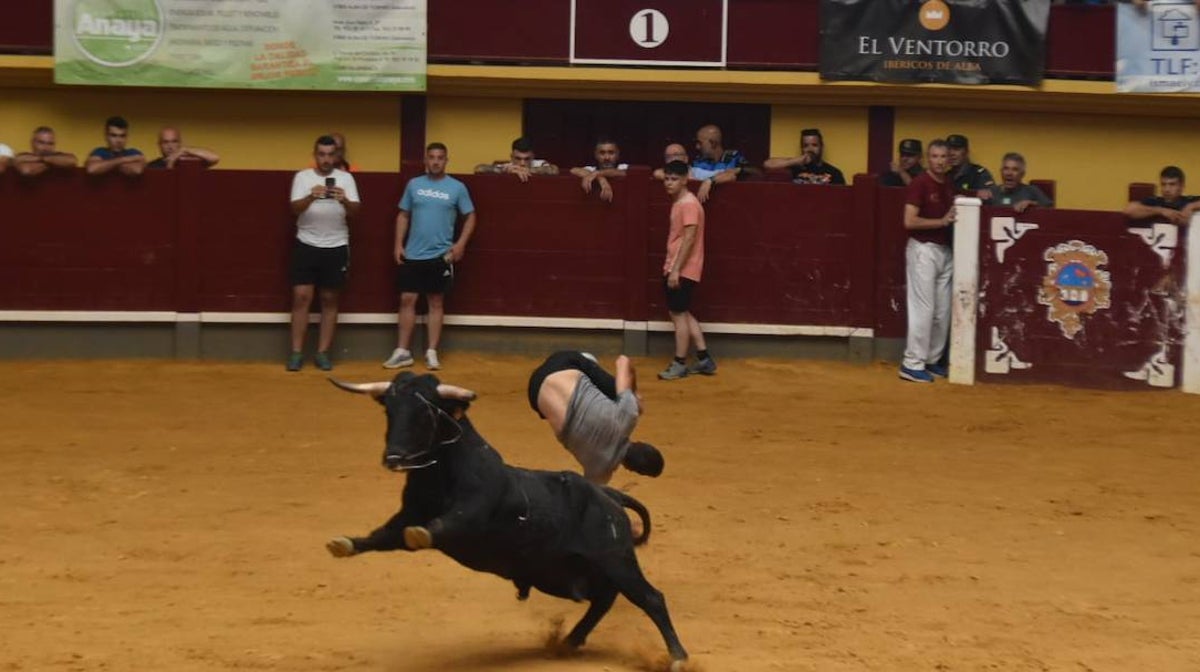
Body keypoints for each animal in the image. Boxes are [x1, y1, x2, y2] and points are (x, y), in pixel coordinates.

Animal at [324, 372, 691, 667]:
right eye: (390, 409)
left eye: (425, 412)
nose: (394, 457)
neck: (439, 474)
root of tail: (610, 497)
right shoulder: (406, 514)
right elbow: (382, 535)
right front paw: (344, 544)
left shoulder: (472, 514)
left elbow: (439, 526)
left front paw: (420, 535)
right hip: (567, 574)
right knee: (604, 599)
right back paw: (570, 641)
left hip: (615, 559)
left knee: (651, 598)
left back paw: (678, 657)